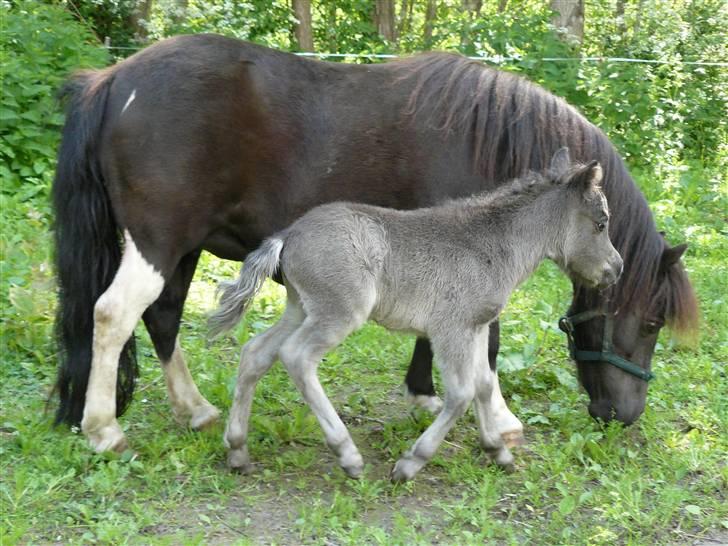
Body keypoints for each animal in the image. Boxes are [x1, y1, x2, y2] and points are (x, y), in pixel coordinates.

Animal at [52, 33, 700, 450]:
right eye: (650, 323)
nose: (624, 417)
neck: (489, 142)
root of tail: (112, 80)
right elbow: (486, 343)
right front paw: (497, 420)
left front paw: (425, 395)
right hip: (158, 243)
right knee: (113, 315)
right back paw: (104, 430)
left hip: (181, 248)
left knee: (160, 319)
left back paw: (197, 412)